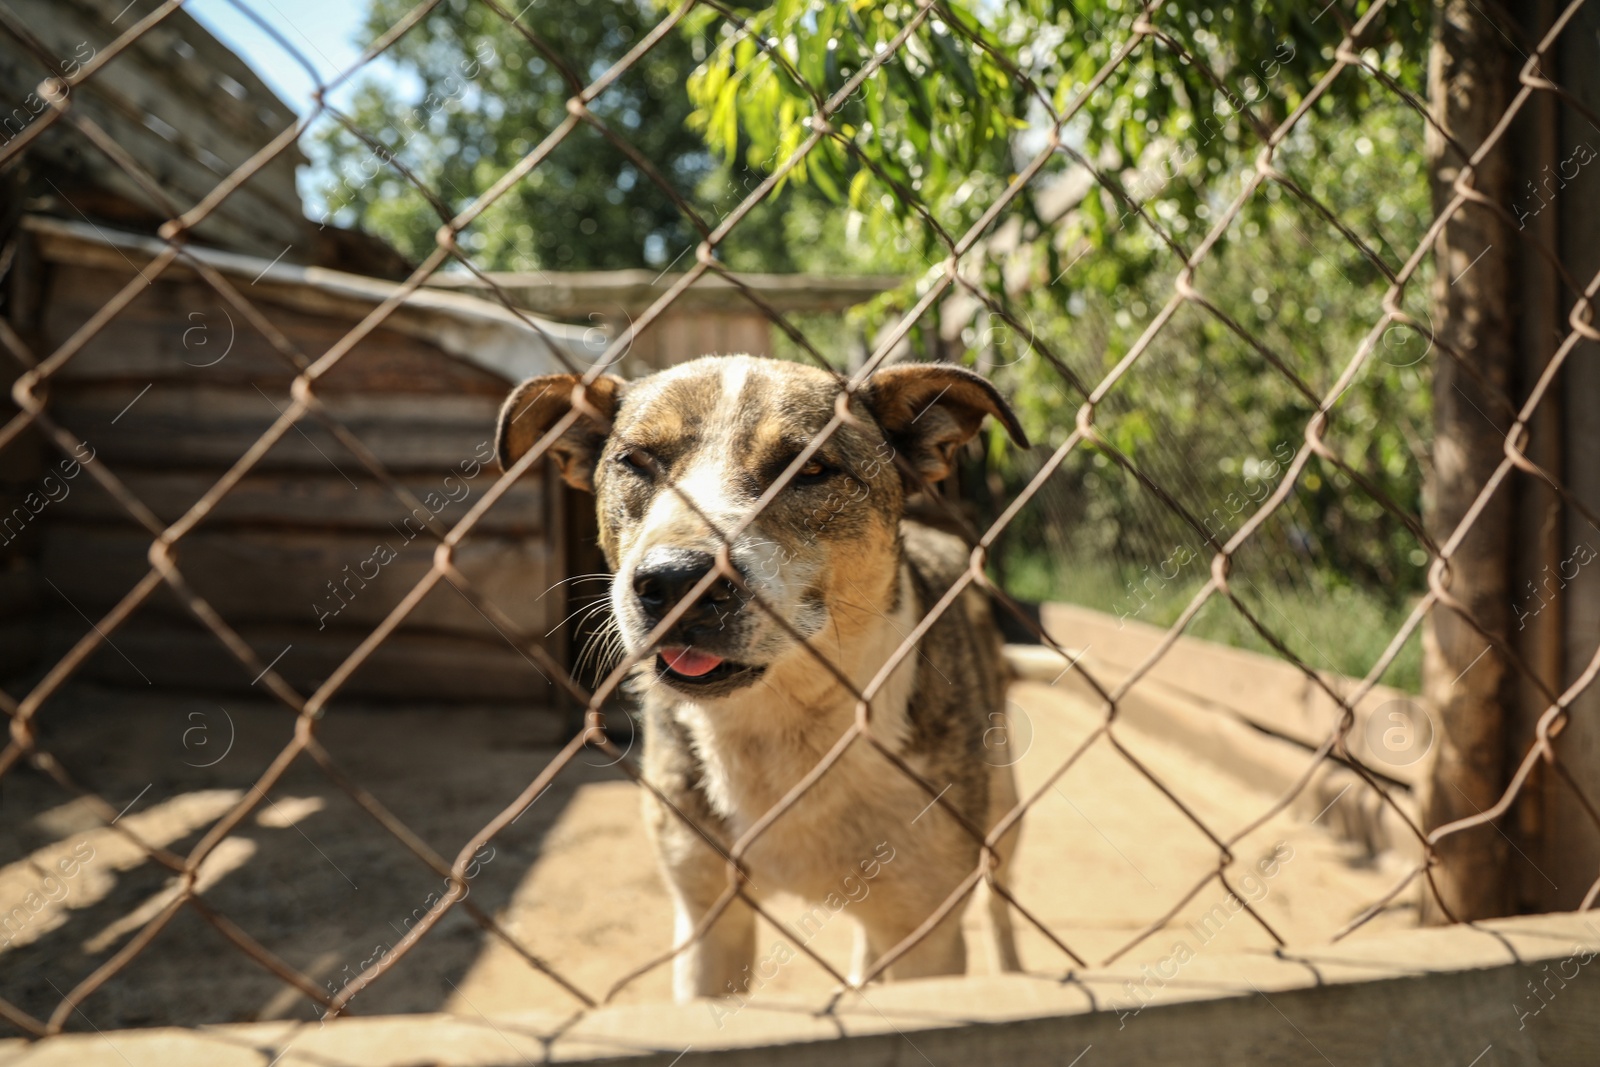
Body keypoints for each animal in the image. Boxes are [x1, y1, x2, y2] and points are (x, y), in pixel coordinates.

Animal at [492, 356, 1030, 1004]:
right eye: (637, 461)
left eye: (811, 470)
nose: (676, 582)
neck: (781, 729)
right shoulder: (708, 921)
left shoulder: (927, 933)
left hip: (1002, 817)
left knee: (999, 903)